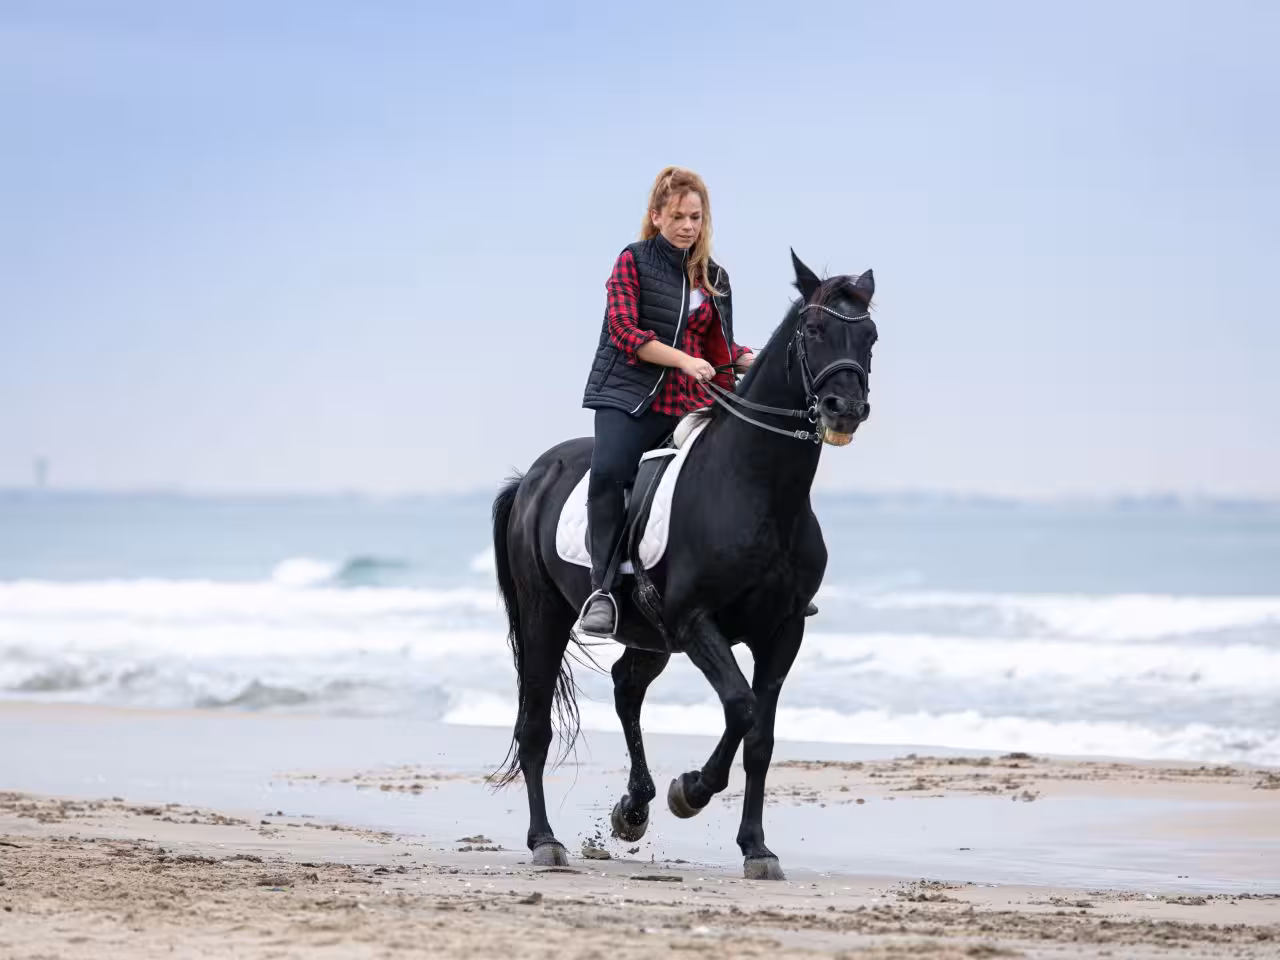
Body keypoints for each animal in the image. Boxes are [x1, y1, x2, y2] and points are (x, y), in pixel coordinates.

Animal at [489, 250, 878, 880]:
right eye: (816, 329)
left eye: (870, 336)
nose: (846, 409)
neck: (758, 487)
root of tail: (531, 478)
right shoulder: (697, 621)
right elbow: (741, 707)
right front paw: (690, 791)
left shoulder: (782, 632)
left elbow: (761, 739)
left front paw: (757, 848)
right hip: (546, 615)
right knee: (535, 728)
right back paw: (546, 841)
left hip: (651, 635)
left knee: (626, 687)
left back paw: (633, 808)